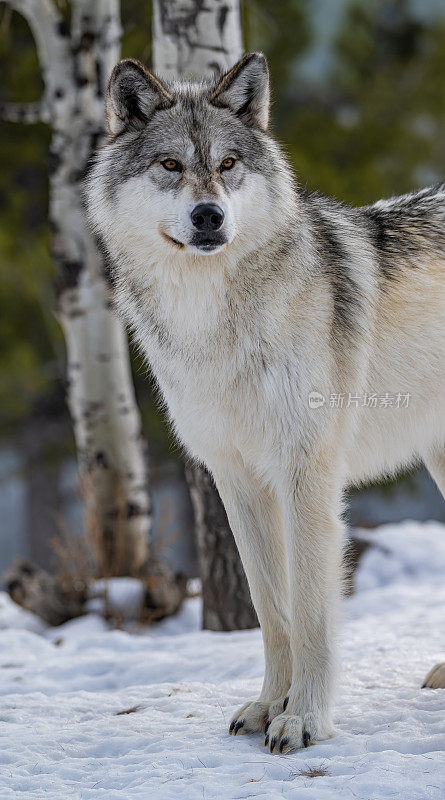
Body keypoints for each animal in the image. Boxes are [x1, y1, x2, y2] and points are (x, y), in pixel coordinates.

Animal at [83, 53, 444, 752]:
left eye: (227, 164)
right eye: (171, 164)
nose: (209, 216)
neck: (211, 319)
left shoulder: (307, 472)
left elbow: (309, 610)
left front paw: (304, 719)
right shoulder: (239, 478)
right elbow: (270, 608)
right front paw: (267, 705)